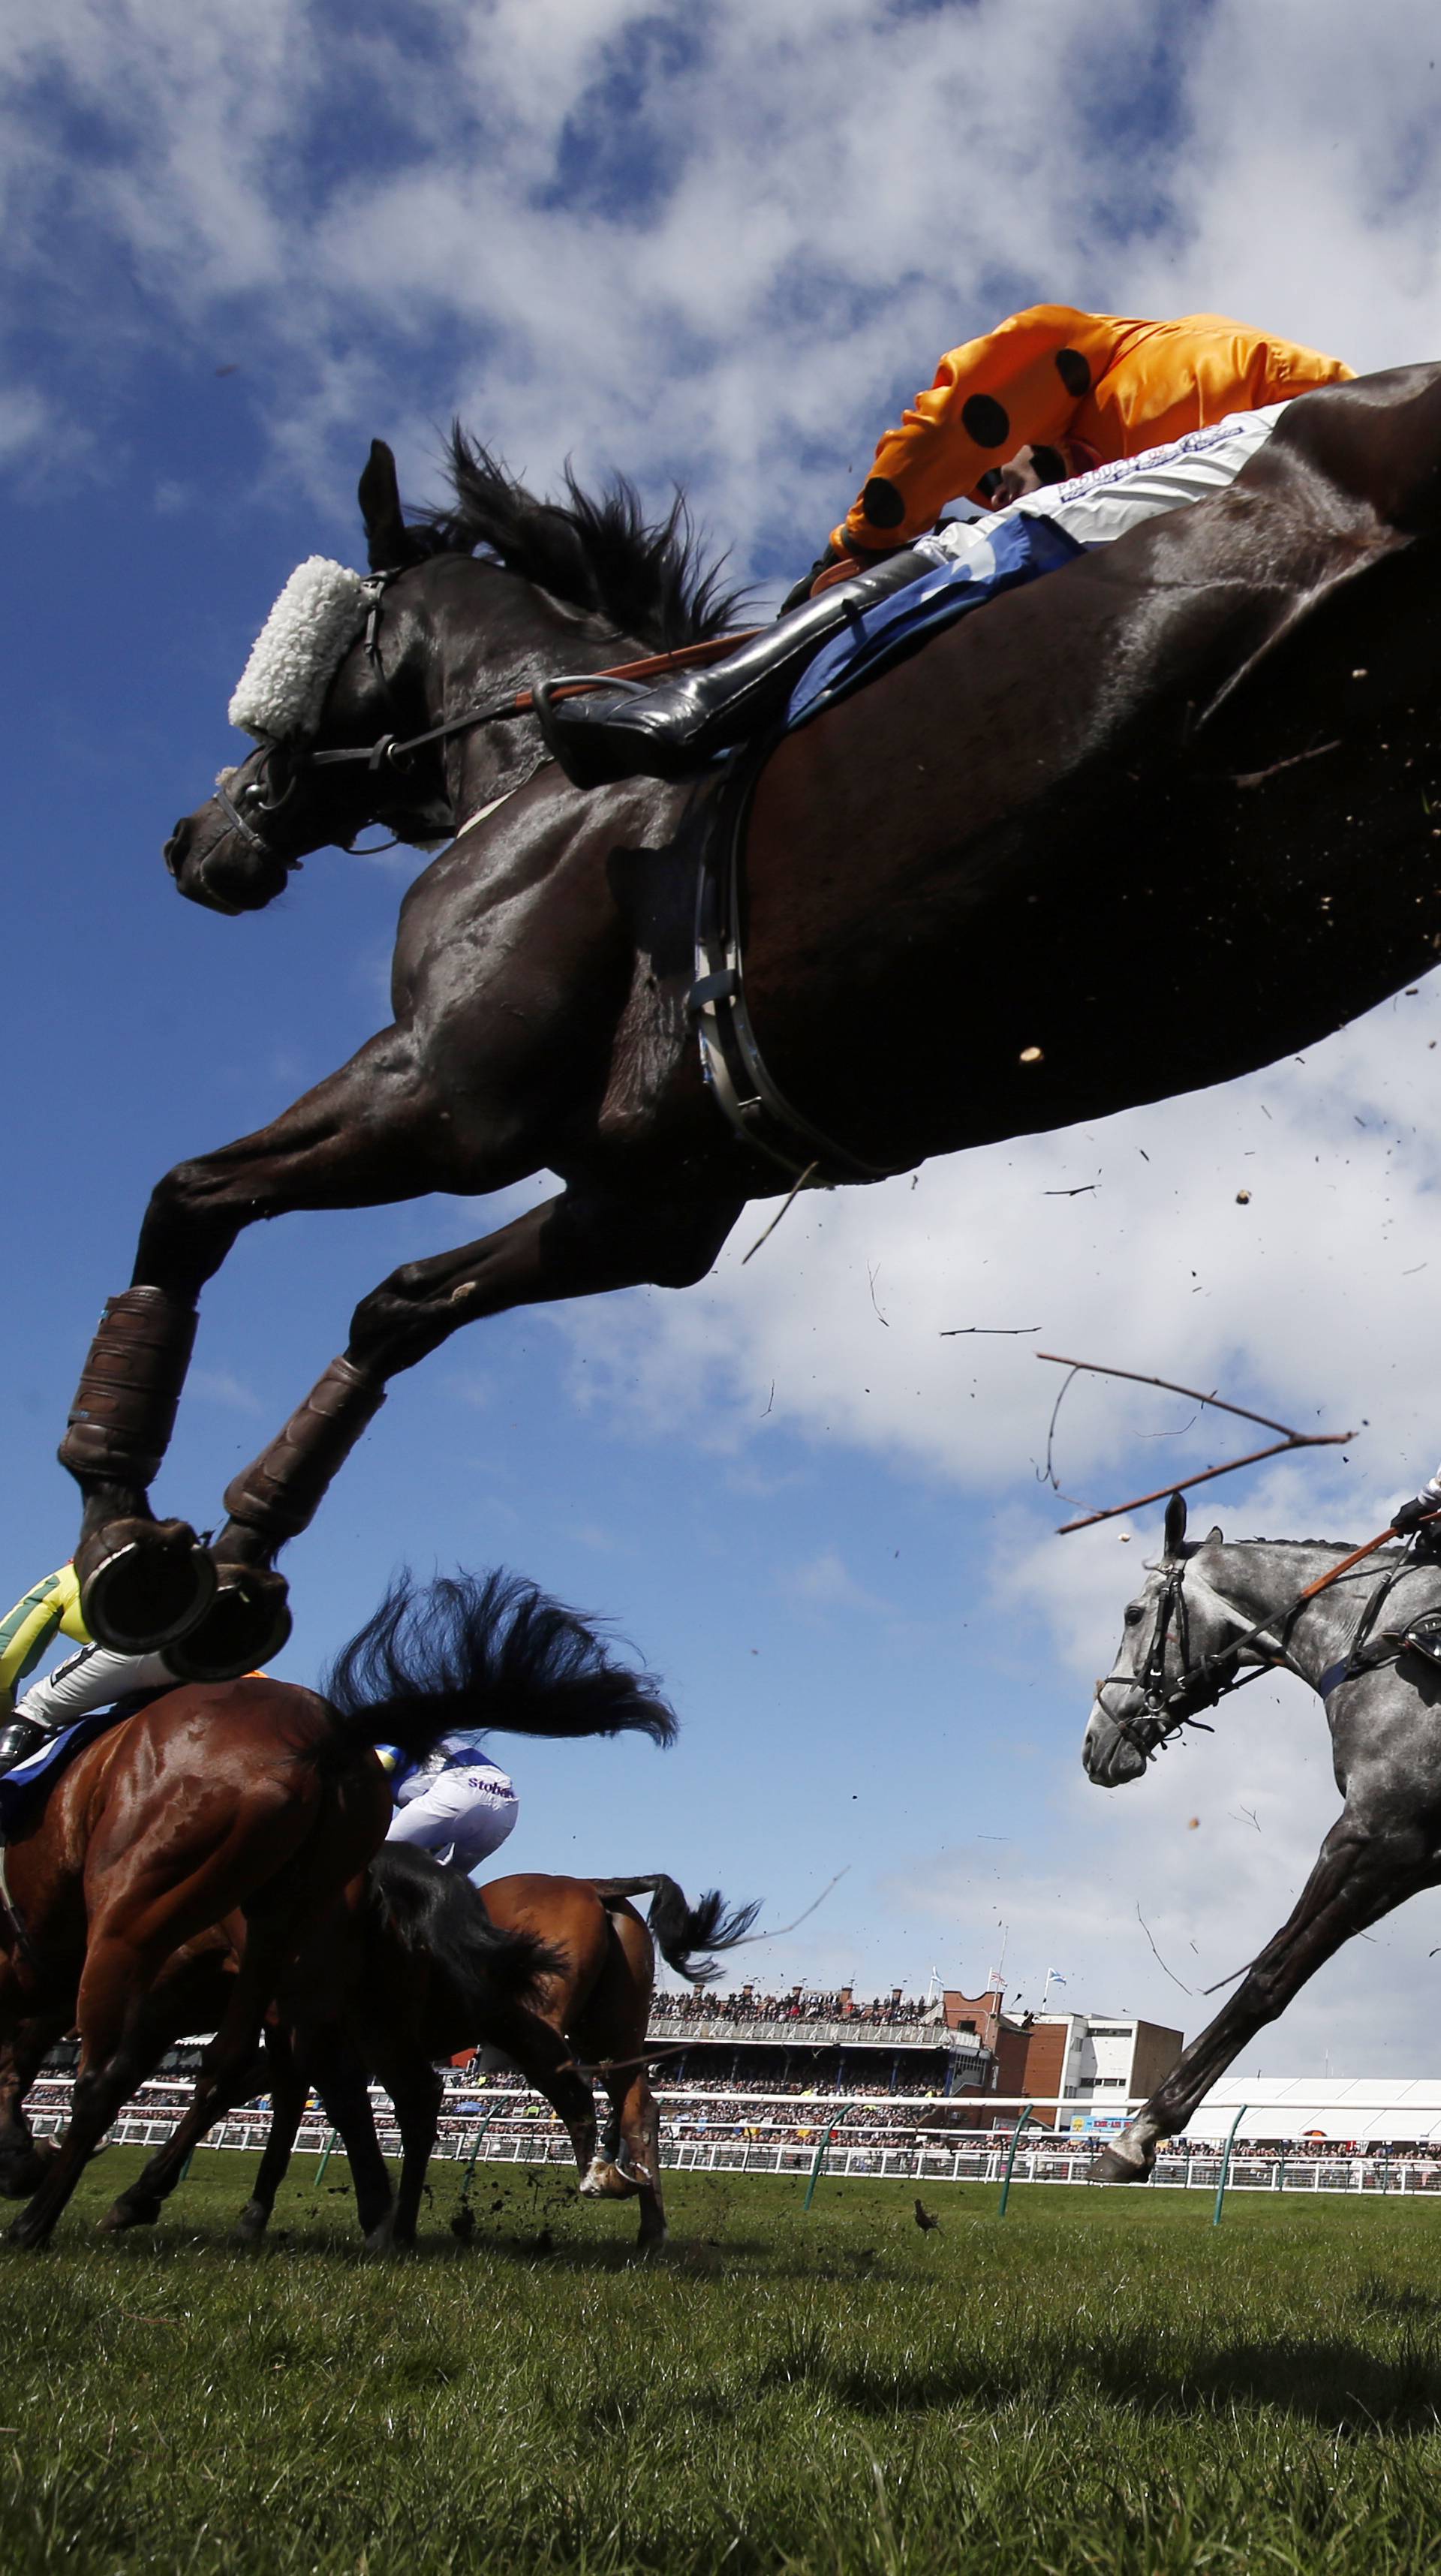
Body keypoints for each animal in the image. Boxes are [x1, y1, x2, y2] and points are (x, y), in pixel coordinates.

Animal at [0, 1555, 675, 2246]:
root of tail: (598, 1888)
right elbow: (297, 2091)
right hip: (604, 2024)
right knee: (631, 2103)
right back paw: (638, 2219)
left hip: (510, 2017)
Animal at [53, 368, 1441, 1669]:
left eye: (316, 640)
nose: (196, 836)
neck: (540, 785)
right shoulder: (650, 1199)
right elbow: (396, 1308)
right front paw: (240, 1555)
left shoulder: (444, 1096)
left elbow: (189, 1201)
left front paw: (122, 1532)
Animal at [196, 1855, 763, 2256]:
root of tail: (593, 1887)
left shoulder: (310, 2034)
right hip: (613, 2031)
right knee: (636, 2107)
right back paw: (650, 2226)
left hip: (528, 2020)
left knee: (569, 2085)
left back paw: (599, 2177)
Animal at [1082, 1483, 1441, 2184]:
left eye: (1133, 1614)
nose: (1095, 1742)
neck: (1378, 1644)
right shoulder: (1413, 1860)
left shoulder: (1374, 1837)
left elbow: (1268, 1979)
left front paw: (1140, 2132)